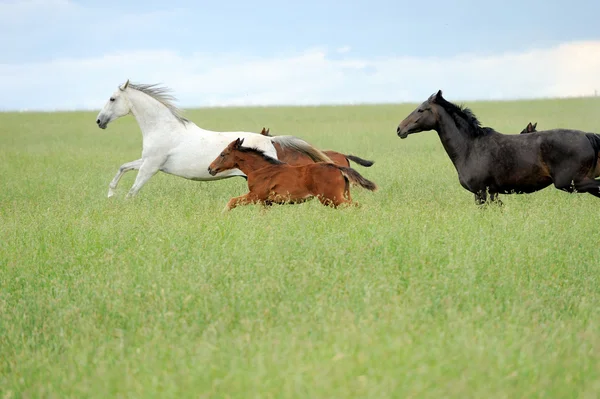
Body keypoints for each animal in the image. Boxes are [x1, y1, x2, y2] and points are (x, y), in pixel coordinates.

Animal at [95, 80, 330, 198]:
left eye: (112, 99)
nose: (99, 121)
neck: (164, 128)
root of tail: (270, 140)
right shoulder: (147, 162)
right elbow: (123, 167)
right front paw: (110, 195)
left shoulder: (151, 166)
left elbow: (133, 191)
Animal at [206, 138, 376, 212]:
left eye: (223, 154)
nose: (210, 168)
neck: (261, 169)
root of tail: (337, 167)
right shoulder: (266, 202)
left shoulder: (255, 196)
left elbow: (232, 201)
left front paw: (222, 215)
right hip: (341, 196)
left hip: (332, 198)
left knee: (357, 206)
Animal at [396, 90, 600, 203]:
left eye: (421, 110)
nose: (400, 129)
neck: (469, 148)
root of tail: (587, 136)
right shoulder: (492, 193)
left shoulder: (481, 192)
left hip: (571, 182)